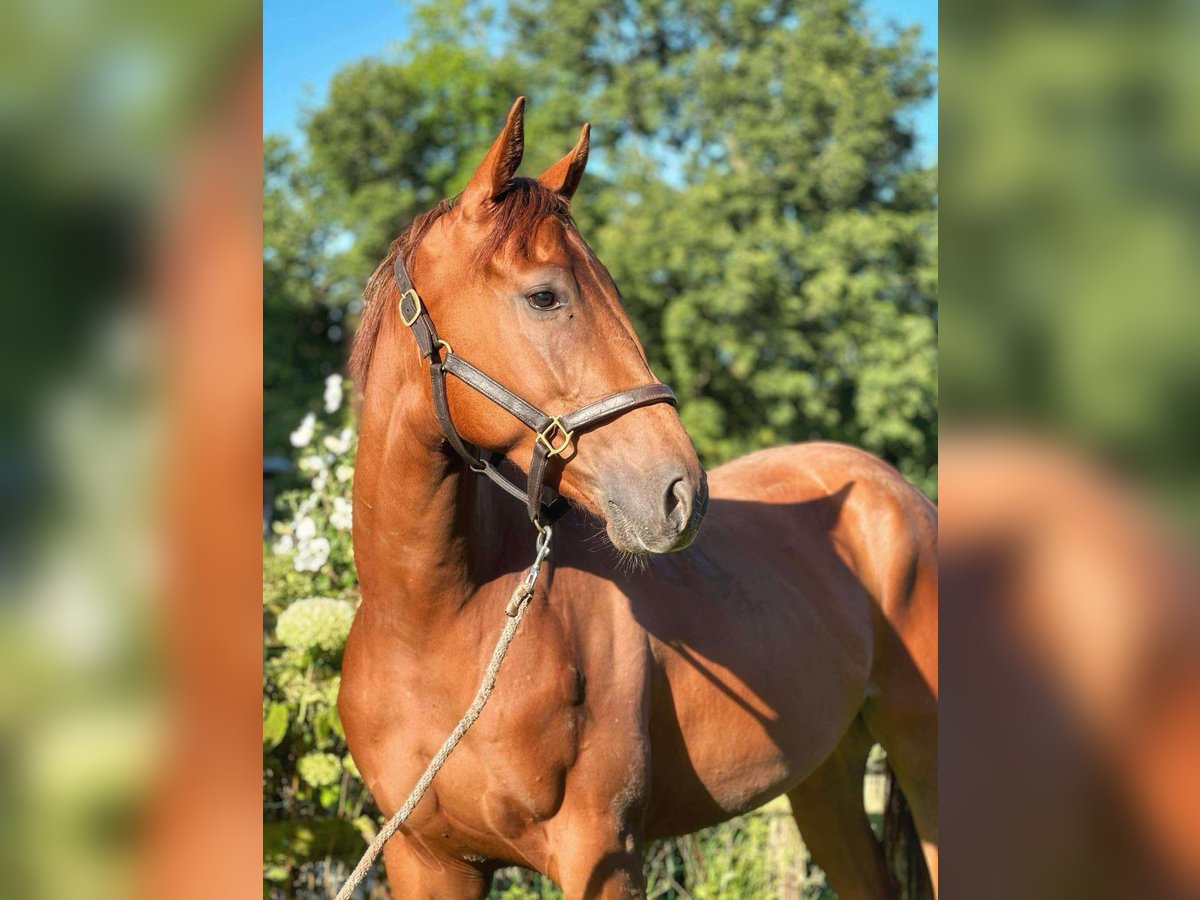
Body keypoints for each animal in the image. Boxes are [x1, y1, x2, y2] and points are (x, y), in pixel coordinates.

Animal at [338, 95, 936, 897]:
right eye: (545, 296)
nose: (680, 492)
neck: (435, 625)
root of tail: (897, 489)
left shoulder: (605, 853)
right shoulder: (427, 860)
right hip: (826, 777)